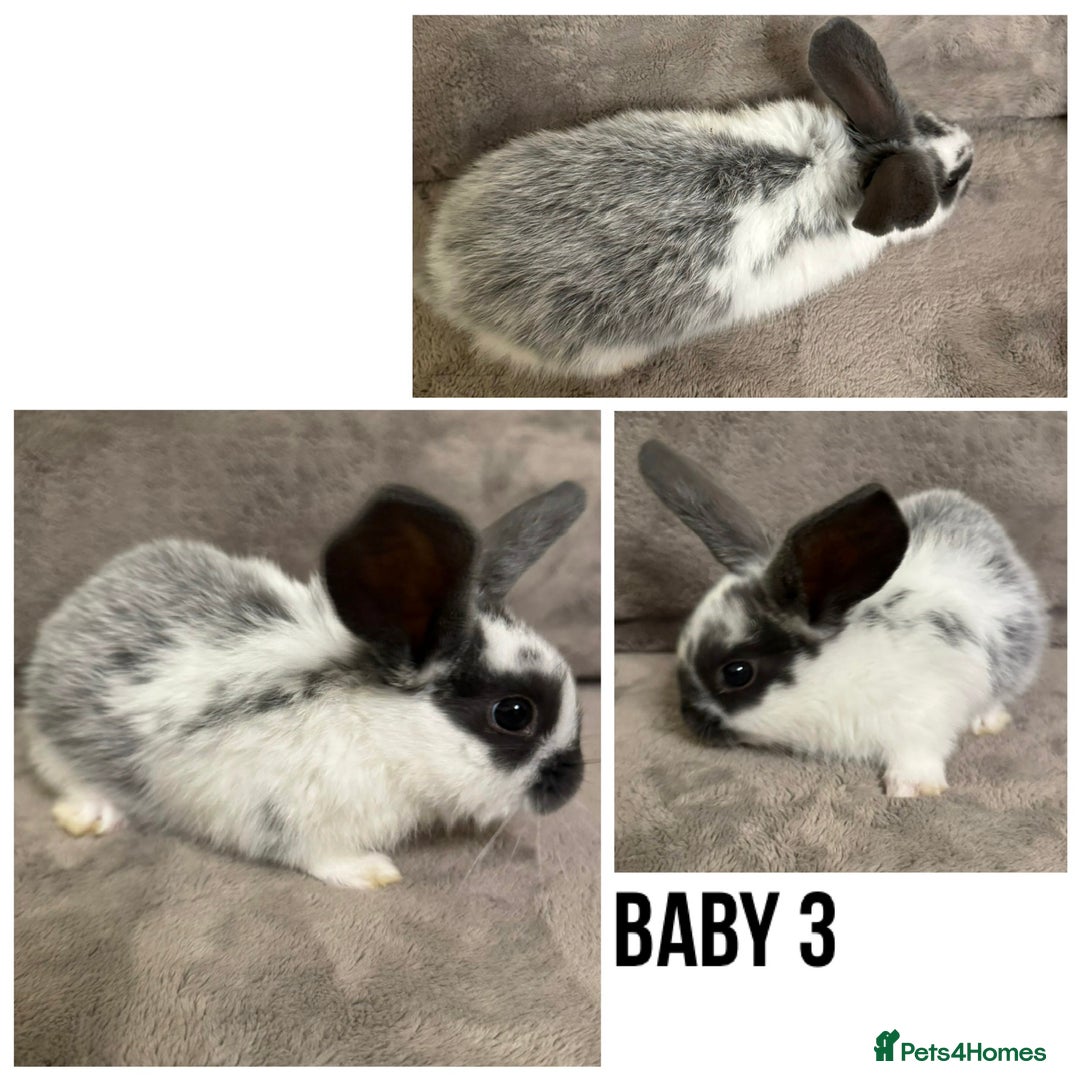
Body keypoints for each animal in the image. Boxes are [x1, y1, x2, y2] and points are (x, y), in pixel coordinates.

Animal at [23, 481, 588, 888]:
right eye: (513, 713)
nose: (573, 784)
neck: (382, 731)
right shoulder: (291, 820)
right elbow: (320, 858)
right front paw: (374, 873)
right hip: (59, 748)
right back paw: (91, 815)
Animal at [637, 440, 1047, 798]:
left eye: (737, 673)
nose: (689, 719)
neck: (836, 673)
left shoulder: (924, 714)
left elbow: (918, 753)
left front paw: (912, 789)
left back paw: (987, 722)